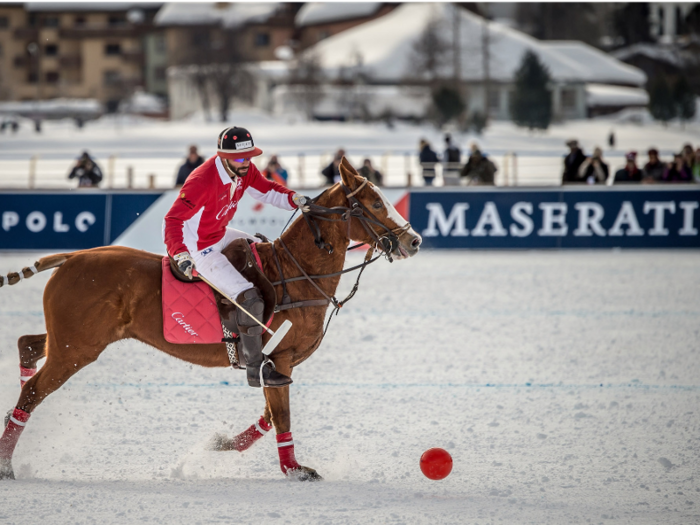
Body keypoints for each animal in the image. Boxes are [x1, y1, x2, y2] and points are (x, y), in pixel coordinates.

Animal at [0, 159, 422, 478]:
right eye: (376, 204)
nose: (414, 240)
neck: (299, 272)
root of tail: (72, 256)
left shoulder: (275, 365)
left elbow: (269, 415)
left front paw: (221, 444)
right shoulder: (281, 359)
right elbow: (282, 417)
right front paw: (295, 470)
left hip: (72, 339)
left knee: (28, 344)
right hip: (78, 347)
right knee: (33, 391)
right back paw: (7, 463)